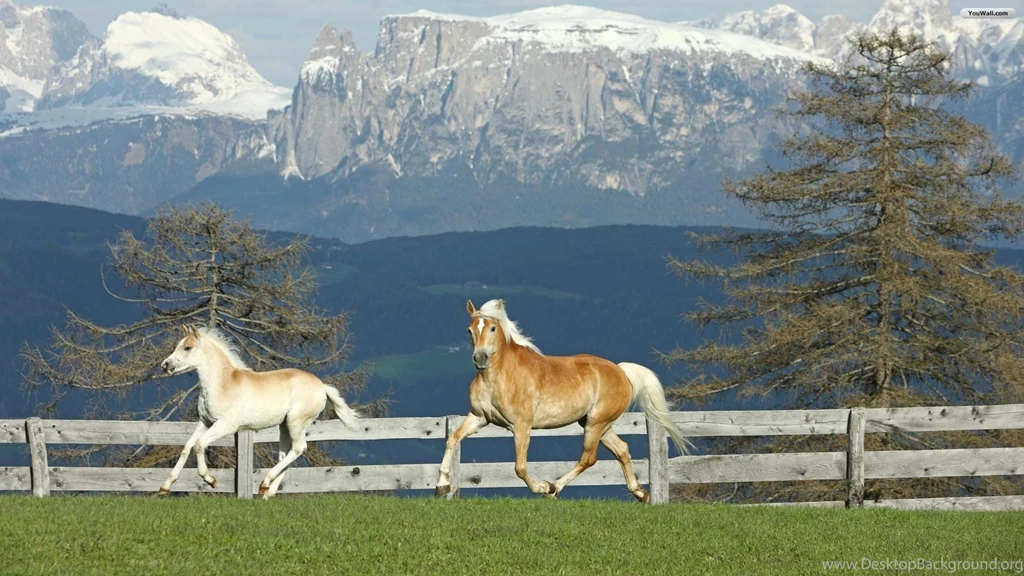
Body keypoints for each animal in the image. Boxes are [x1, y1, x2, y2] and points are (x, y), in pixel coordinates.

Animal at [157, 324, 360, 498]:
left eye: (188, 347)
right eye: (177, 346)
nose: (165, 365)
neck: (223, 384)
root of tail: (321, 386)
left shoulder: (226, 425)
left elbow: (199, 445)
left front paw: (211, 480)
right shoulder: (205, 422)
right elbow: (186, 447)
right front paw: (164, 488)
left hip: (296, 422)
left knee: (298, 448)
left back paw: (265, 483)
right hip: (284, 426)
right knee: (286, 454)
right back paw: (267, 493)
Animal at [436, 299, 689, 503]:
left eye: (492, 327)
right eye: (469, 330)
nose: (480, 358)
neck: (499, 376)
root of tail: (620, 371)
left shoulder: (522, 426)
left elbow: (520, 467)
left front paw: (540, 487)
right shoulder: (479, 417)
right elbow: (452, 440)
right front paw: (441, 486)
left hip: (596, 423)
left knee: (588, 458)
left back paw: (553, 488)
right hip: (597, 424)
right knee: (622, 450)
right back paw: (641, 494)